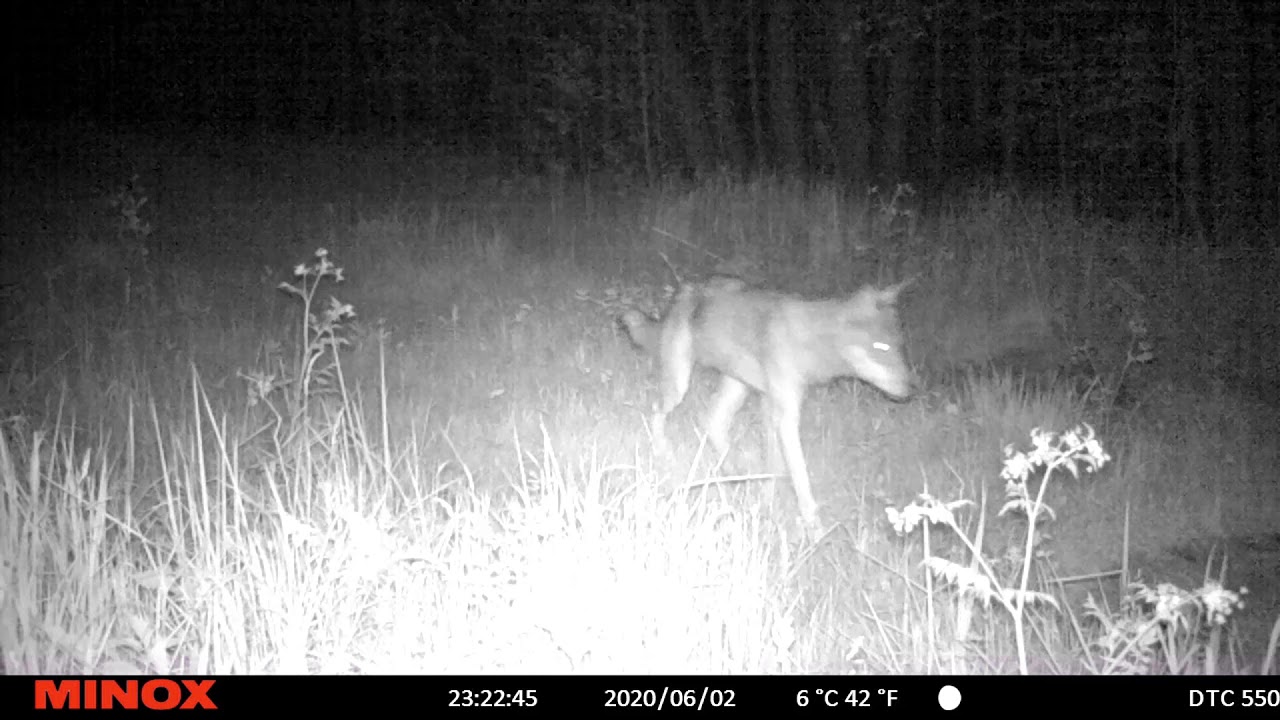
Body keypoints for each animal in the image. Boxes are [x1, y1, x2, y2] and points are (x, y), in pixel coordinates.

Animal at [620, 276, 914, 532]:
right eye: (881, 347)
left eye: (900, 347)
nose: (910, 390)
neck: (810, 340)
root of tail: (683, 292)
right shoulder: (785, 416)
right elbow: (800, 478)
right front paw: (815, 531)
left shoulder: (771, 406)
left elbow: (775, 468)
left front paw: (768, 503)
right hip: (680, 387)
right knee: (659, 413)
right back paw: (665, 453)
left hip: (737, 389)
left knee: (711, 422)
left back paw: (734, 472)